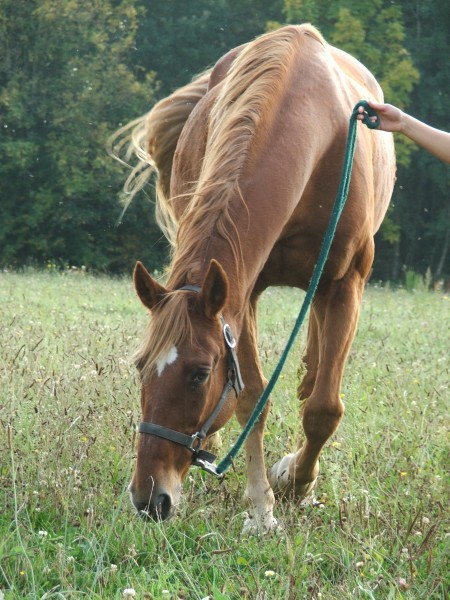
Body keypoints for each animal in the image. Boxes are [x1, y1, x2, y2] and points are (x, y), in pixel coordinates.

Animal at [112, 23, 394, 532]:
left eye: (200, 374)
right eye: (141, 367)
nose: (148, 498)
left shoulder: (346, 283)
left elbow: (323, 409)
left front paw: (296, 483)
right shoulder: (239, 293)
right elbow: (252, 401)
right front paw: (263, 507)